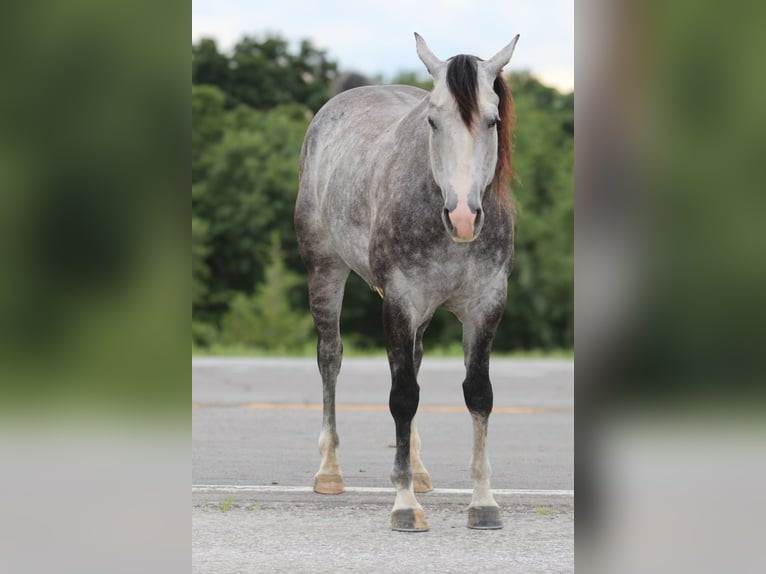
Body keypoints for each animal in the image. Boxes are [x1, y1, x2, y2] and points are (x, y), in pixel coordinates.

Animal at [294, 33, 519, 532]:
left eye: (492, 120)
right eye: (433, 121)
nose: (462, 217)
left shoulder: (486, 305)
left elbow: (478, 394)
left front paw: (483, 503)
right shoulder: (399, 301)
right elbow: (402, 397)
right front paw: (403, 504)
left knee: (412, 362)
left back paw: (419, 469)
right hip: (324, 269)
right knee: (330, 358)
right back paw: (329, 472)